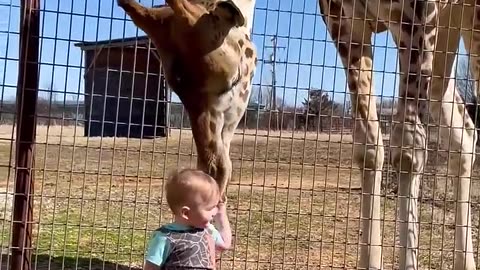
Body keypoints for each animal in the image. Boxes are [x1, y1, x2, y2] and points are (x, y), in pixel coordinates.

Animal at [318, 0, 480, 268]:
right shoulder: (341, 18)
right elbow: (368, 147)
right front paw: (370, 262)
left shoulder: (418, 14)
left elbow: (408, 149)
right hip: (446, 36)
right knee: (465, 133)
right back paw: (465, 263)